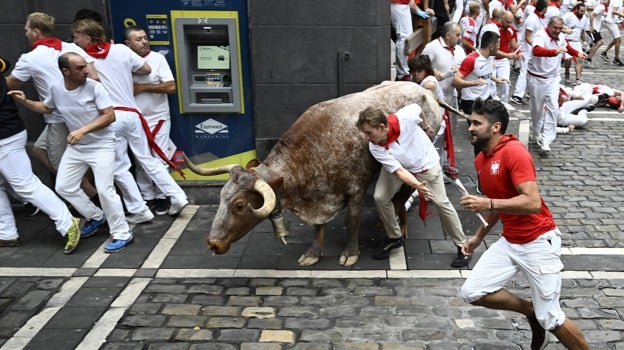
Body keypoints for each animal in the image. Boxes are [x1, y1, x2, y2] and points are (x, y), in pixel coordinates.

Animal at [185, 81, 444, 266]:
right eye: (221, 198)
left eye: (239, 205)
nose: (212, 243)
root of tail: (423, 90)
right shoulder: (319, 196)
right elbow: (318, 227)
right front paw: (314, 252)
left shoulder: (356, 190)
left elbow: (352, 221)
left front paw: (350, 252)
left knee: (402, 197)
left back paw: (400, 226)